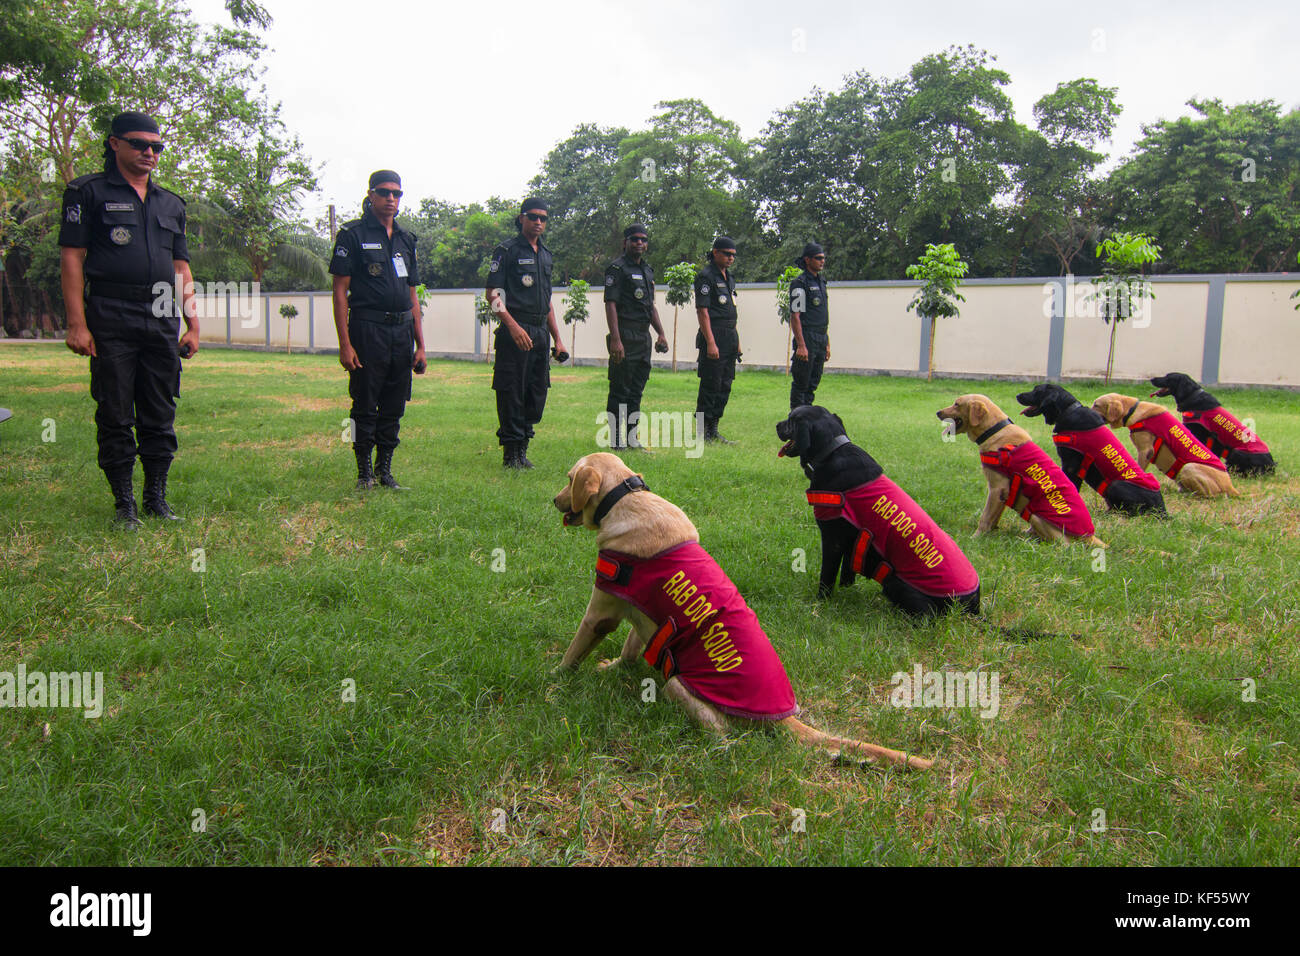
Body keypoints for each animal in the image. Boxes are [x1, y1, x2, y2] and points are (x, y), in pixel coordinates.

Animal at [553, 452, 930, 775]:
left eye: (569, 479)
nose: (554, 501)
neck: (624, 501)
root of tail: (782, 717)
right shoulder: (640, 613)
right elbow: (630, 649)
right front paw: (615, 667)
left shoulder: (599, 613)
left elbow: (573, 652)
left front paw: (555, 680)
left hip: (678, 684)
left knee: (724, 734)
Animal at [769, 405, 977, 621]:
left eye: (791, 419)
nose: (776, 425)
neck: (832, 450)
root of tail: (974, 605)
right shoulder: (851, 544)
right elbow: (847, 574)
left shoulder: (833, 539)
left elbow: (827, 575)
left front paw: (820, 602)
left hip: (894, 581)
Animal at [935, 395, 1107, 546]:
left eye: (957, 404)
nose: (938, 412)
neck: (994, 430)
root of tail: (1090, 536)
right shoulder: (1004, 494)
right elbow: (994, 518)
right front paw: (991, 534)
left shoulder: (997, 488)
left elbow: (985, 517)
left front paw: (975, 538)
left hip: (1036, 517)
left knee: (1064, 545)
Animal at [1013, 382, 1170, 515]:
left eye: (1037, 391)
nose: (1018, 395)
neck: (1068, 411)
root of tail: (1163, 509)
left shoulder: (1071, 464)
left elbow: (1073, 485)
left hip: (1115, 485)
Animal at [1092, 392, 1232, 502]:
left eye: (1096, 405)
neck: (1133, 410)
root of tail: (1230, 487)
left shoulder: (1146, 451)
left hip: (1188, 467)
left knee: (1211, 496)